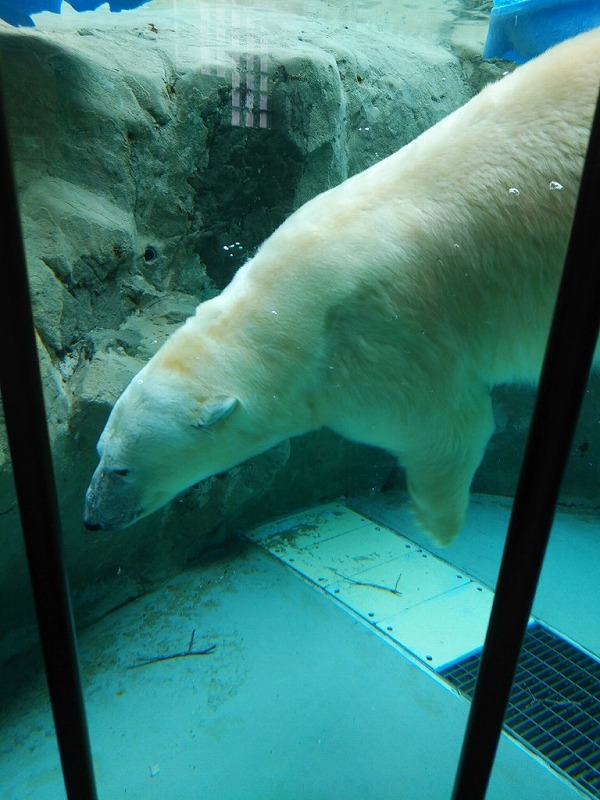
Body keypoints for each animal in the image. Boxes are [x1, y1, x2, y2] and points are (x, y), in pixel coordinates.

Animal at [83, 29, 600, 544]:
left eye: (123, 469)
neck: (288, 312)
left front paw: (438, 525)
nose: (91, 518)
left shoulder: (390, 351)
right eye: (99, 451)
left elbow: (452, 429)